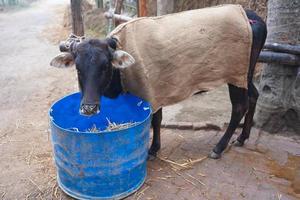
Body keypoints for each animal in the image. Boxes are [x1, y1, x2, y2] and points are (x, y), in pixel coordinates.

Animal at [50, 6, 266, 159]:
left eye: (105, 66)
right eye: (78, 68)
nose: (88, 108)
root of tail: (250, 16)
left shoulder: (152, 91)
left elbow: (155, 120)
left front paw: (153, 149)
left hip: (236, 75)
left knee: (239, 106)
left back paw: (219, 148)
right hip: (246, 74)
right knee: (254, 96)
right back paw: (242, 137)